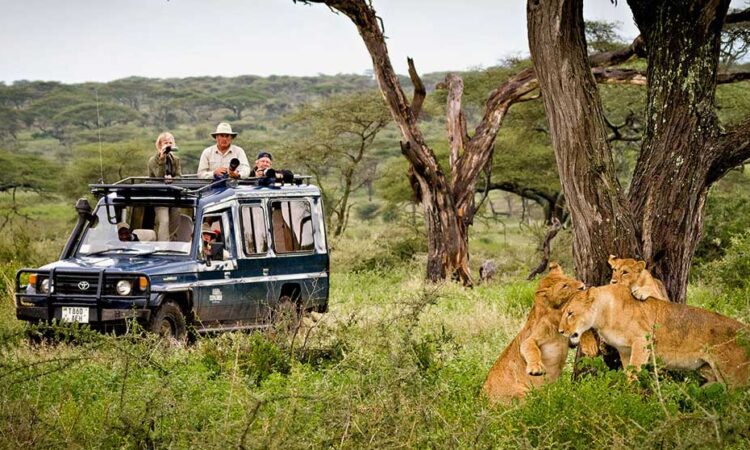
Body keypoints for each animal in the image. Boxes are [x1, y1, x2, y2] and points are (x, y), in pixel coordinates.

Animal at [488, 262, 600, 402]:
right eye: (564, 286)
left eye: (569, 279)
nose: (583, 286)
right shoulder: (532, 337)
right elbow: (530, 347)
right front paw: (536, 368)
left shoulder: (569, 340)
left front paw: (590, 345)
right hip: (521, 393)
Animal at [560, 284, 748, 386]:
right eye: (563, 313)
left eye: (570, 313)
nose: (561, 331)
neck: (604, 316)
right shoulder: (625, 351)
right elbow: (628, 370)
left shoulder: (642, 341)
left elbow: (633, 373)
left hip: (735, 377)